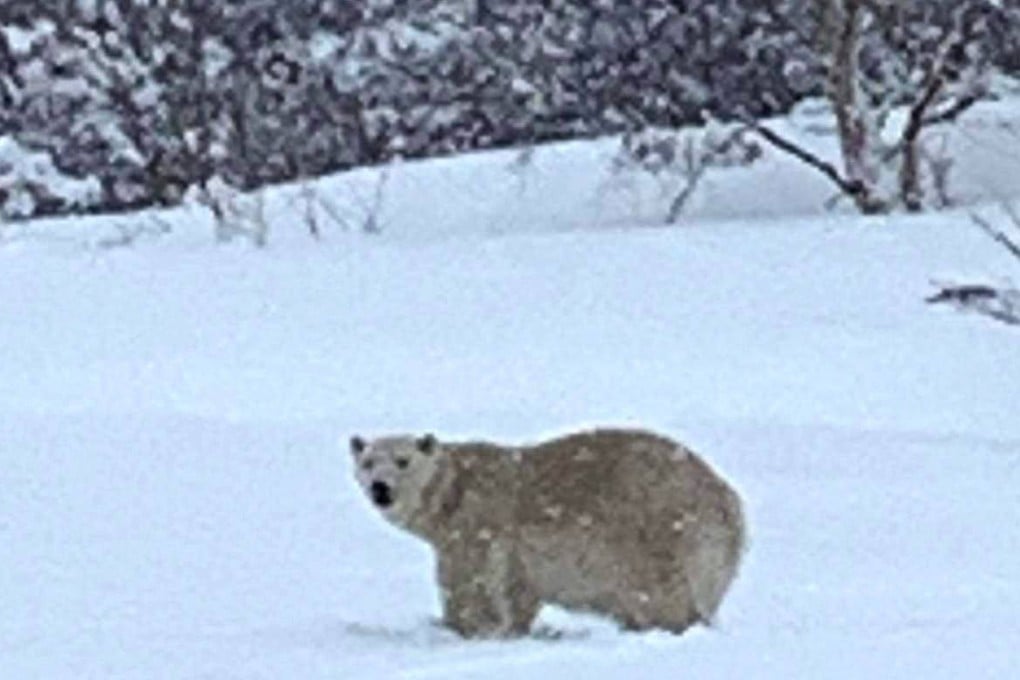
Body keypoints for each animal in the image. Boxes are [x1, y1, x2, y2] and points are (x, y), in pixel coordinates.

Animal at [349, 428, 745, 638]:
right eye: (367, 462)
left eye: (402, 460)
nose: (380, 487)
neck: (452, 493)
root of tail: (728, 501)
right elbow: (518, 592)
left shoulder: (477, 524)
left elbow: (469, 582)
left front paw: (461, 626)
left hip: (657, 532)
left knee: (660, 594)